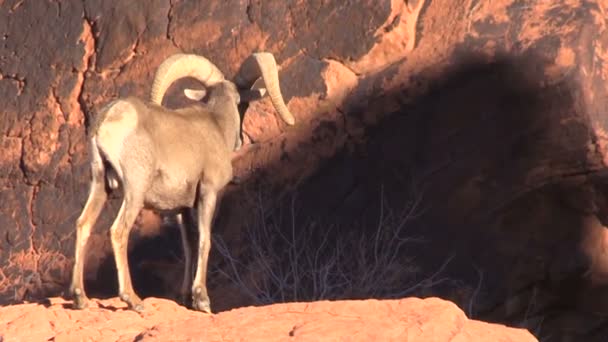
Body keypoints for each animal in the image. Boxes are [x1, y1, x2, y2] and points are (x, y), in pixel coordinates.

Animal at [70, 51, 296, 312]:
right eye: (243, 104)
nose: (240, 140)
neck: (216, 127)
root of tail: (106, 120)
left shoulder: (182, 209)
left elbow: (189, 245)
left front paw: (185, 298)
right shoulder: (209, 193)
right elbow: (205, 240)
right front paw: (202, 300)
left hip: (100, 185)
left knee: (83, 224)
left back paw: (80, 298)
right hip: (135, 191)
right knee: (118, 231)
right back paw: (133, 300)